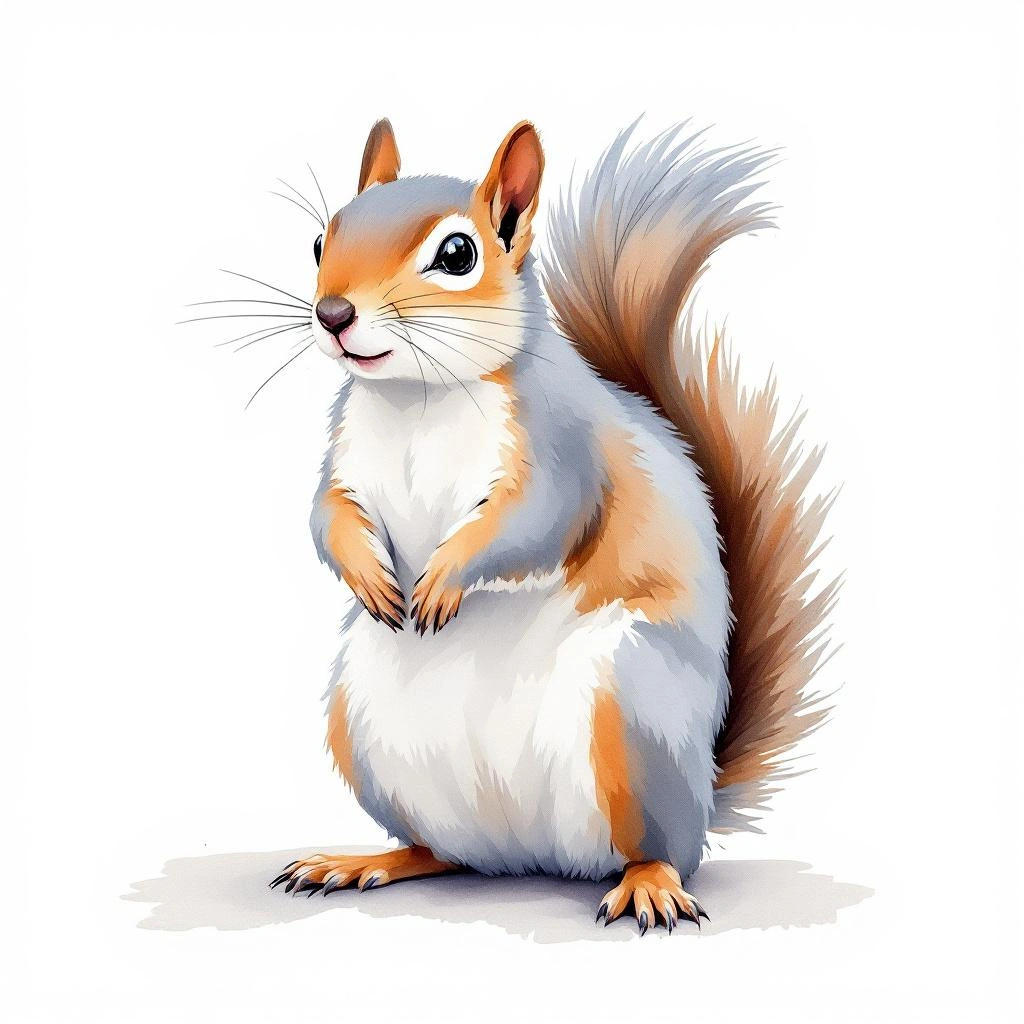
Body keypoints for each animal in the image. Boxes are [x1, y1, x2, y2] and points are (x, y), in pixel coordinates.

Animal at [267, 118, 836, 933]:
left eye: (457, 254)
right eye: (320, 239)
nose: (333, 314)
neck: (415, 397)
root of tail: (527, 854)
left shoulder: (562, 448)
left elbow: (536, 522)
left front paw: (442, 581)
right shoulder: (344, 458)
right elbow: (327, 515)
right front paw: (370, 575)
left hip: (632, 711)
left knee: (660, 846)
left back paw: (651, 884)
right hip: (365, 729)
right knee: (441, 850)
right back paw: (364, 861)